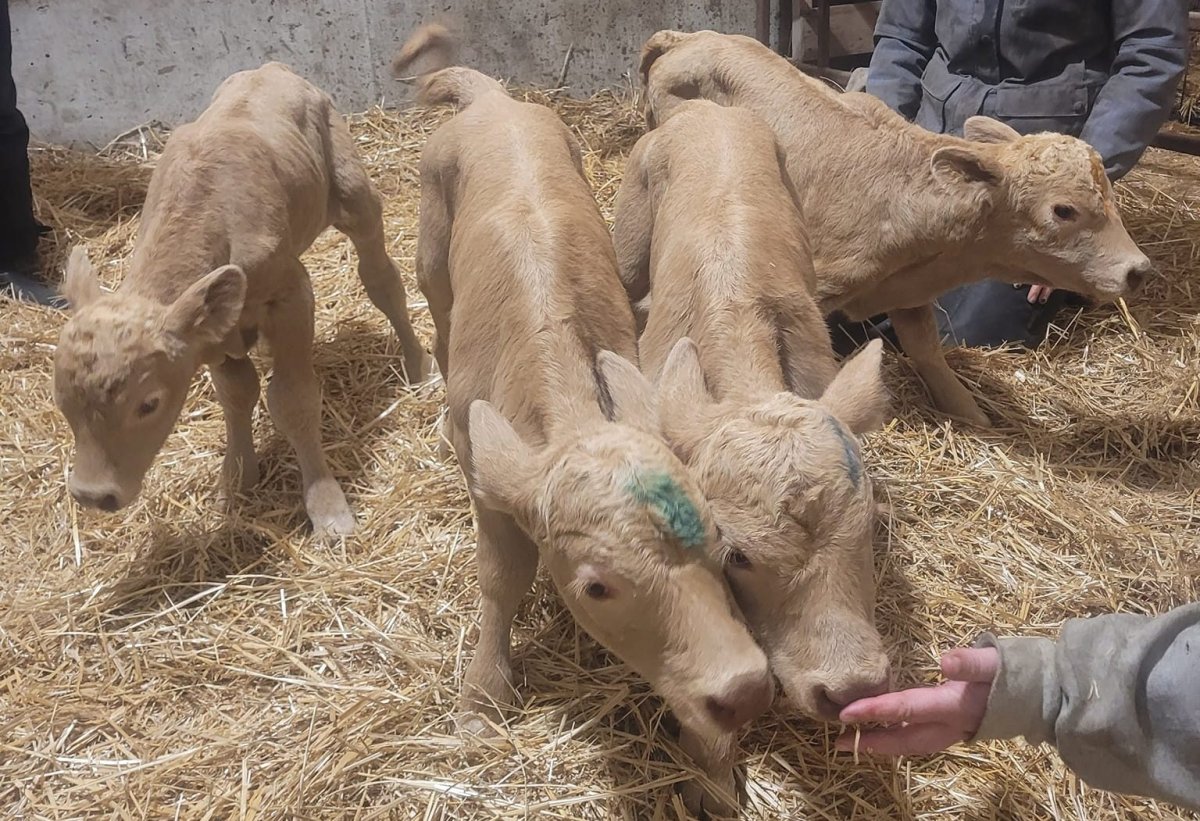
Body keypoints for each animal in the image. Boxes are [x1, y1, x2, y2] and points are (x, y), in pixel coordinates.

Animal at [52, 65, 427, 537]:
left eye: (148, 403)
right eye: (61, 401)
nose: (92, 494)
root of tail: (272, 69)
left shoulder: (290, 293)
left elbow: (292, 398)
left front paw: (327, 509)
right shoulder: (213, 328)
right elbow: (236, 392)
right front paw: (235, 479)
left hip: (355, 194)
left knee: (381, 279)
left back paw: (418, 366)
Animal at [393, 25, 768, 816]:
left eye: (722, 543)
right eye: (597, 586)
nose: (746, 688)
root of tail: (495, 101)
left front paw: (715, 765)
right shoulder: (489, 473)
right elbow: (501, 576)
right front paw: (481, 700)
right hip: (430, 247)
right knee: (435, 312)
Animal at [638, 28, 1152, 427]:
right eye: (1063, 210)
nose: (1138, 270)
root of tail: (688, 37)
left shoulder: (910, 296)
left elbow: (929, 354)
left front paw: (974, 416)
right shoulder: (820, 284)